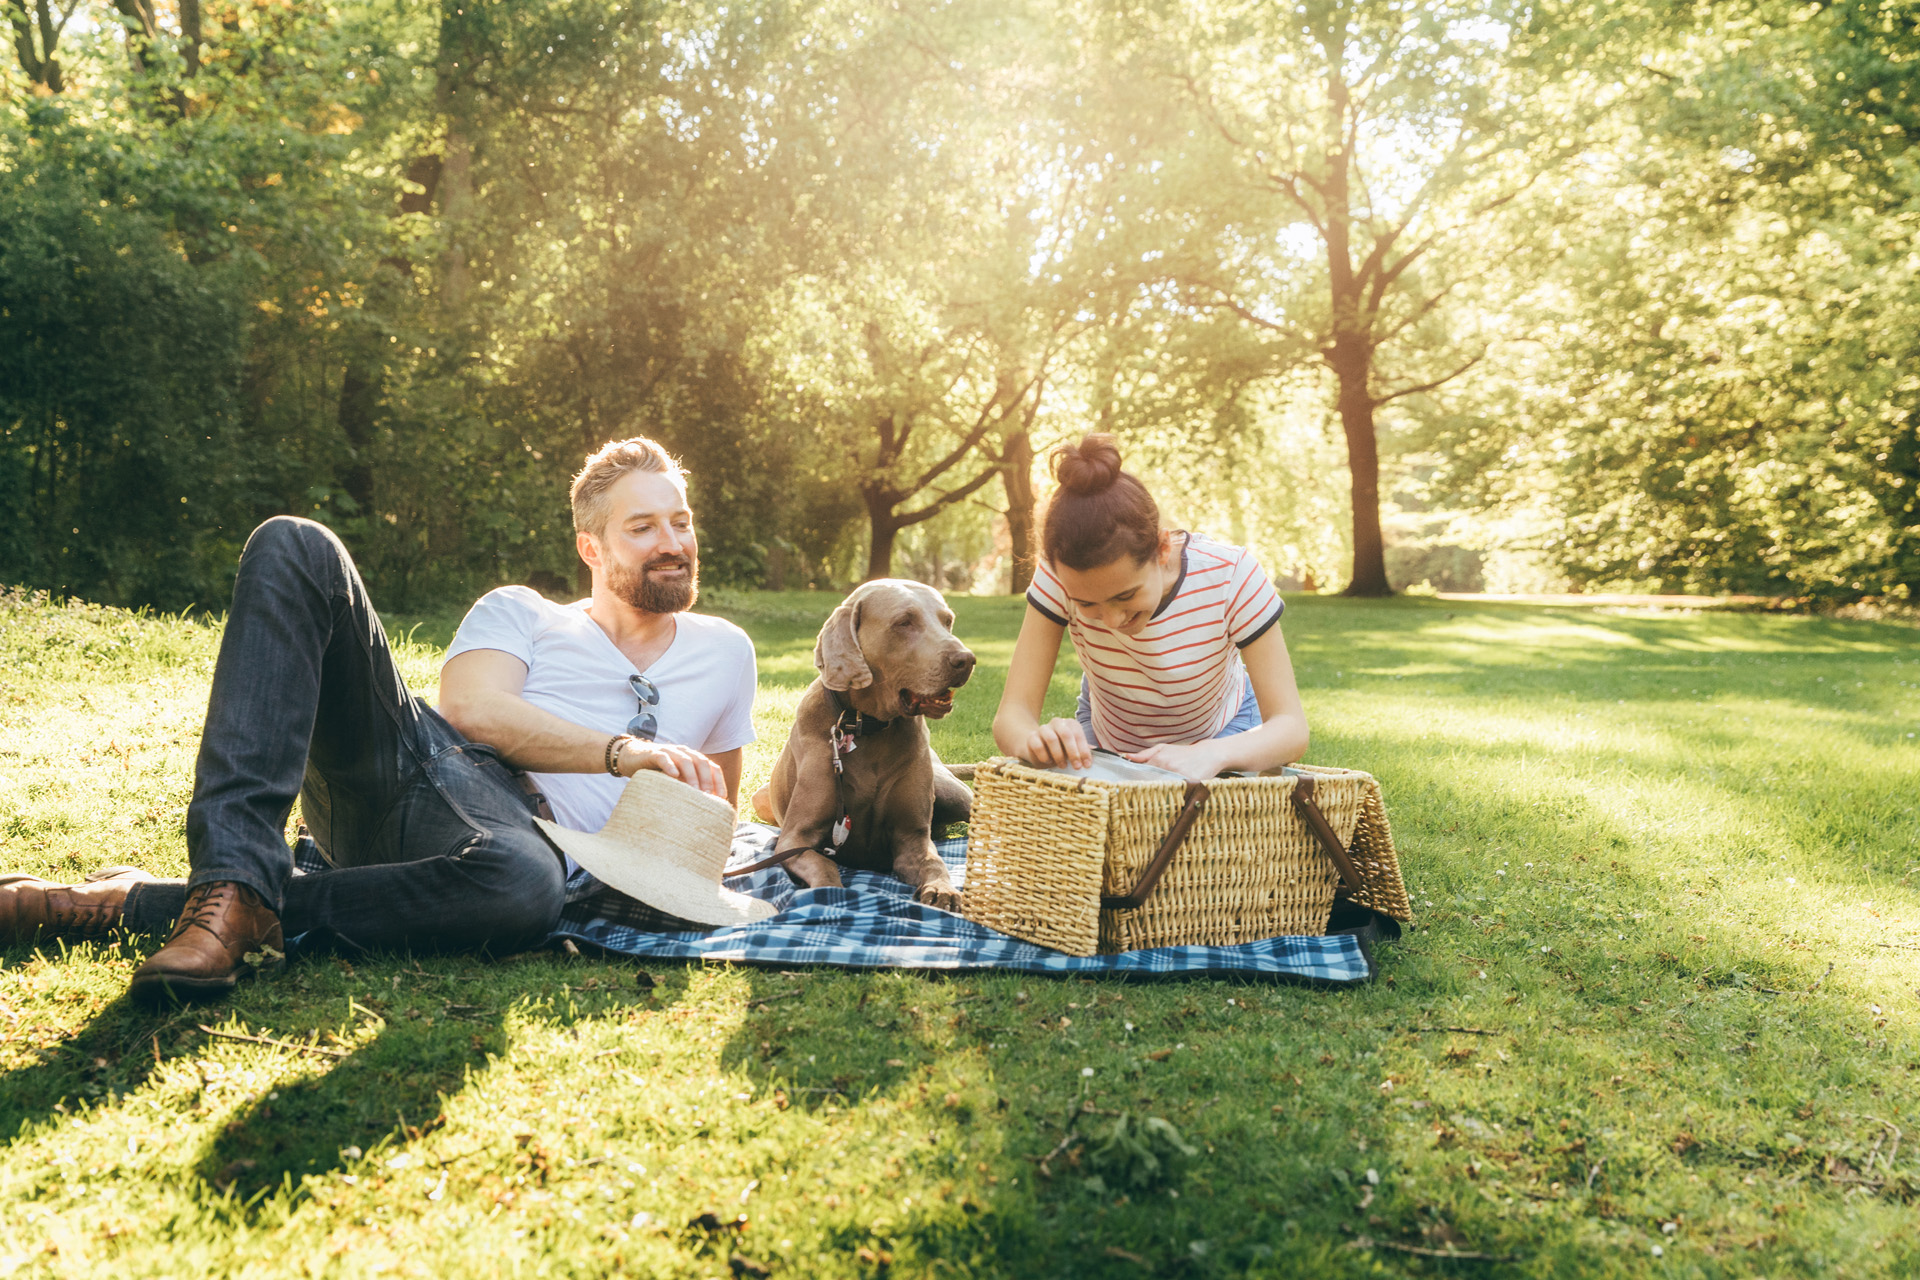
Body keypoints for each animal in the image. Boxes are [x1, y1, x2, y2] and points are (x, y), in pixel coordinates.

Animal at [752, 579, 975, 909]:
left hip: (952, 792)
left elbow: (934, 862)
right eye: (904, 622)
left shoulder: (913, 838)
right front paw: (828, 894)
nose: (966, 660)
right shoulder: (793, 839)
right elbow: (824, 863)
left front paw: (943, 890)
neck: (866, 725)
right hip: (760, 798)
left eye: (947, 621)